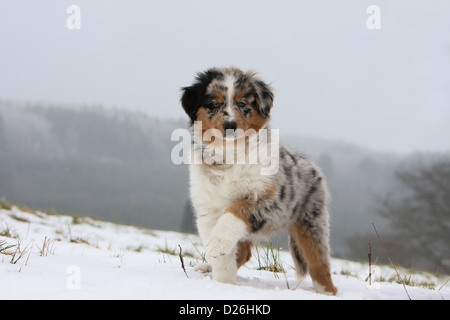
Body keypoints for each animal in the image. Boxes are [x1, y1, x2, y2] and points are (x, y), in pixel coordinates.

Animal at [181, 67, 336, 296]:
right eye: (214, 104)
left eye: (243, 104)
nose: (230, 126)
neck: (230, 155)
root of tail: (313, 167)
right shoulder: (208, 208)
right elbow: (225, 256)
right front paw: (223, 283)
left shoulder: (272, 200)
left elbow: (235, 212)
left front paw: (217, 243)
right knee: (244, 253)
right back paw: (207, 267)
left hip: (312, 224)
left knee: (319, 265)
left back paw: (327, 292)